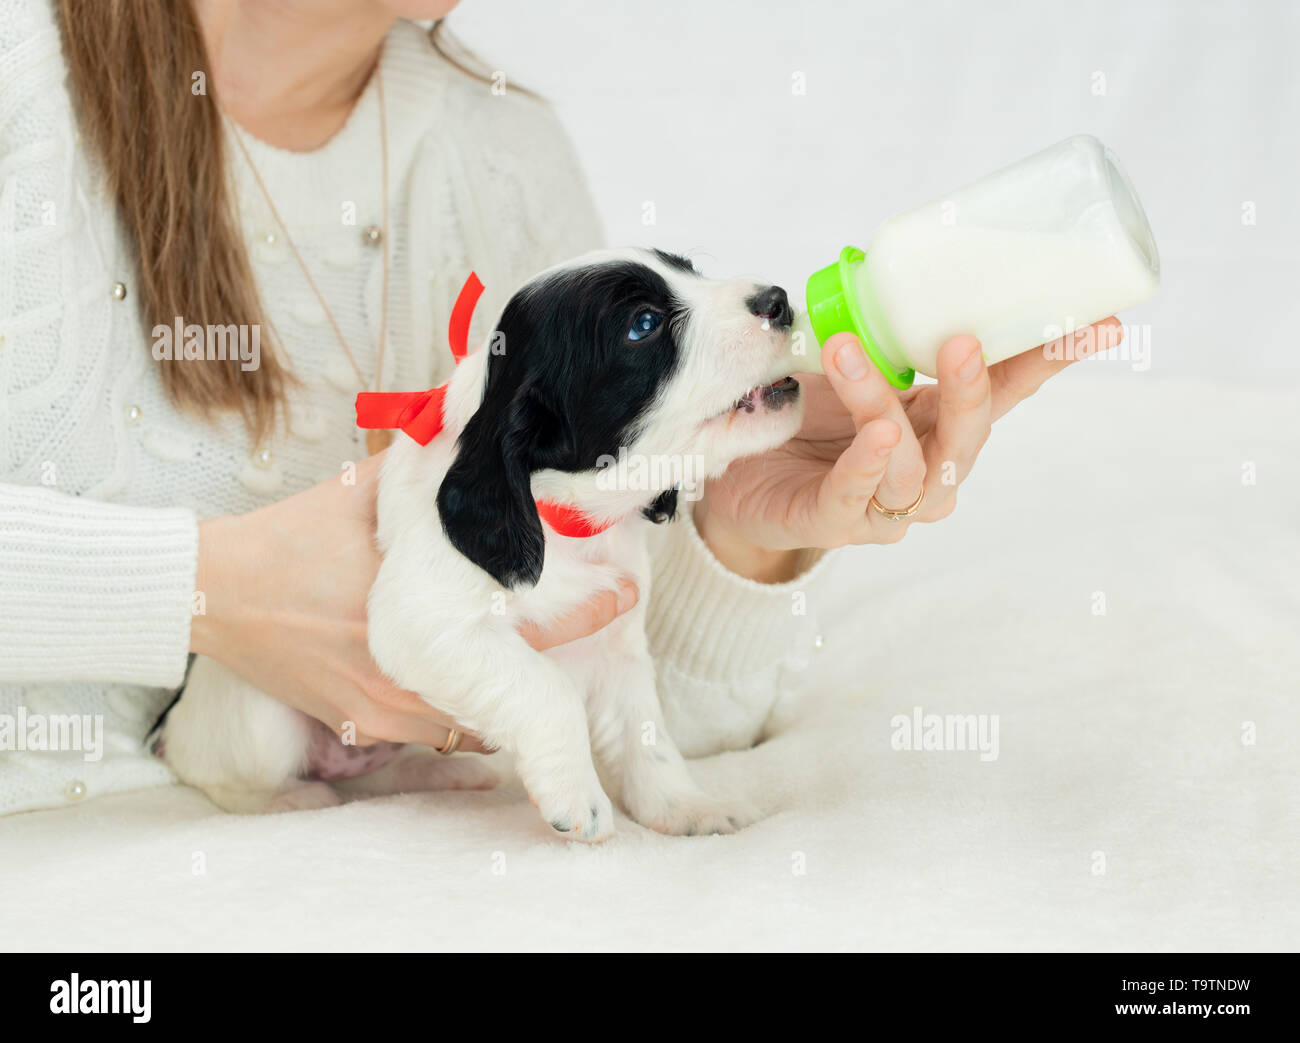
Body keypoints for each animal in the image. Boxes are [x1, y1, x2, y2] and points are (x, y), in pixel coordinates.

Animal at [162, 248, 800, 842]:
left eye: (690, 269)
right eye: (643, 325)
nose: (779, 299)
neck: (562, 520)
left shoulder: (619, 646)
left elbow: (648, 735)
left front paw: (685, 807)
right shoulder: (421, 621)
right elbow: (548, 690)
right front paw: (578, 797)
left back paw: (441, 772)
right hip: (259, 713)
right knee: (221, 778)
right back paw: (288, 800)